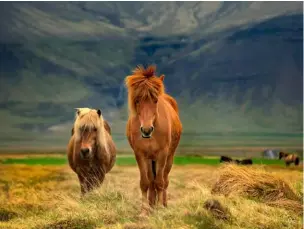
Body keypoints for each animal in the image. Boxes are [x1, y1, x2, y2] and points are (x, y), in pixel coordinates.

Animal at [124, 65, 182, 216]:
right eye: (137, 100)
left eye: (155, 100)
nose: (146, 130)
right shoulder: (140, 154)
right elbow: (145, 182)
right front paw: (144, 210)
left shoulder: (162, 154)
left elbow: (160, 182)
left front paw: (161, 208)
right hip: (150, 159)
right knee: (151, 180)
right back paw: (151, 205)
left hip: (169, 157)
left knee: (164, 180)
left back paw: (163, 204)